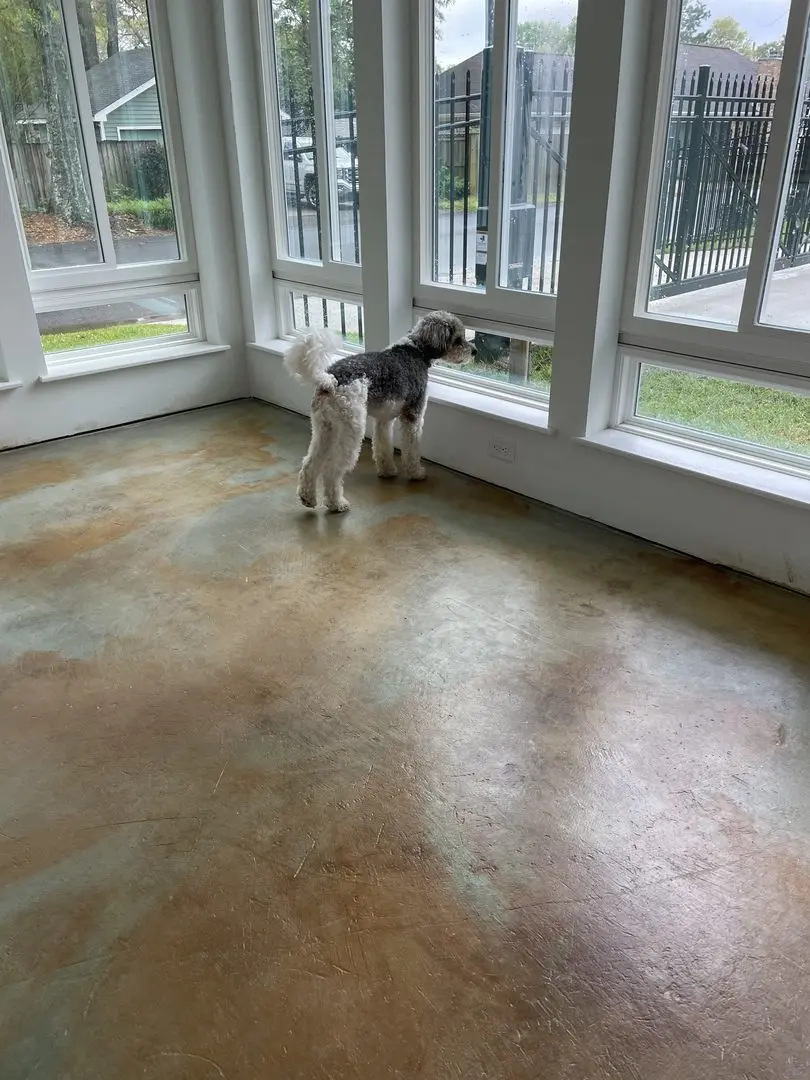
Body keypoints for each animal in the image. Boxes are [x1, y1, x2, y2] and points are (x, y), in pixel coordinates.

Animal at [285, 311, 475, 511]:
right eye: (458, 339)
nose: (474, 351)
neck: (415, 350)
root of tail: (329, 381)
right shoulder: (413, 417)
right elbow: (411, 449)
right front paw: (416, 473)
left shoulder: (384, 419)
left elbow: (383, 446)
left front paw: (387, 471)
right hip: (351, 431)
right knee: (331, 471)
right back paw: (337, 503)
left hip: (324, 430)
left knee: (309, 463)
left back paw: (307, 498)